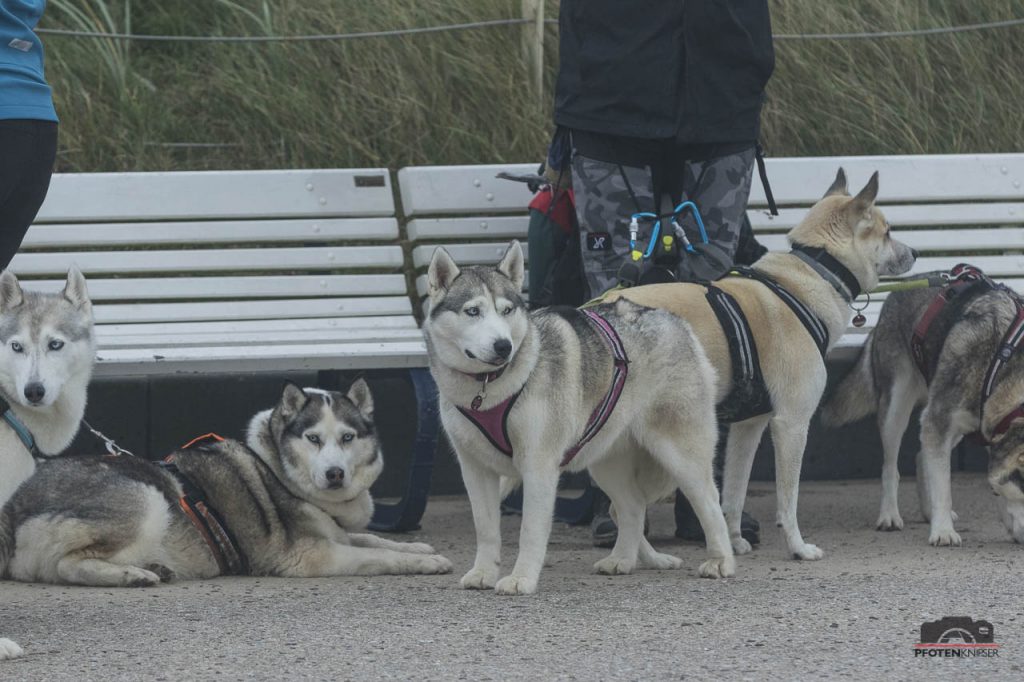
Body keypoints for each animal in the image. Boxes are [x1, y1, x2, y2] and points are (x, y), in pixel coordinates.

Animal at [0, 380, 452, 594]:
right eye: (312, 439)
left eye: (347, 438)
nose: (335, 474)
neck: (276, 469)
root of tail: (14, 507)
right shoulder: (309, 556)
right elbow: (376, 555)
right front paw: (425, 563)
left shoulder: (336, 533)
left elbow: (374, 540)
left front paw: (418, 547)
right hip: (147, 498)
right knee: (67, 565)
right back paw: (131, 575)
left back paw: (150, 568)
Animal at [423, 240, 733, 596]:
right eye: (472, 311)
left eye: (507, 311)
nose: (503, 346)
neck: (488, 389)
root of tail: (671, 319)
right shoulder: (475, 469)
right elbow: (486, 529)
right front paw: (484, 572)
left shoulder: (538, 466)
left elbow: (530, 531)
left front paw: (521, 578)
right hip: (605, 460)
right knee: (632, 506)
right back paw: (622, 559)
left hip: (679, 454)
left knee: (709, 501)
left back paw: (721, 560)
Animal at [603, 169, 917, 560]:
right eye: (887, 232)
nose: (916, 252)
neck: (812, 273)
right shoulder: (792, 425)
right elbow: (788, 499)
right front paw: (797, 547)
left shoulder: (748, 427)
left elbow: (735, 492)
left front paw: (736, 539)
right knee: (620, 507)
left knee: (622, 506)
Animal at [821, 268, 1024, 546]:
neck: (1004, 363)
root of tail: (905, 284)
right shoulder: (940, 420)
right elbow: (945, 487)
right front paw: (944, 531)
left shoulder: (985, 428)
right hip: (898, 404)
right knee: (891, 466)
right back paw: (890, 515)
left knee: (921, 456)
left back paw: (928, 511)